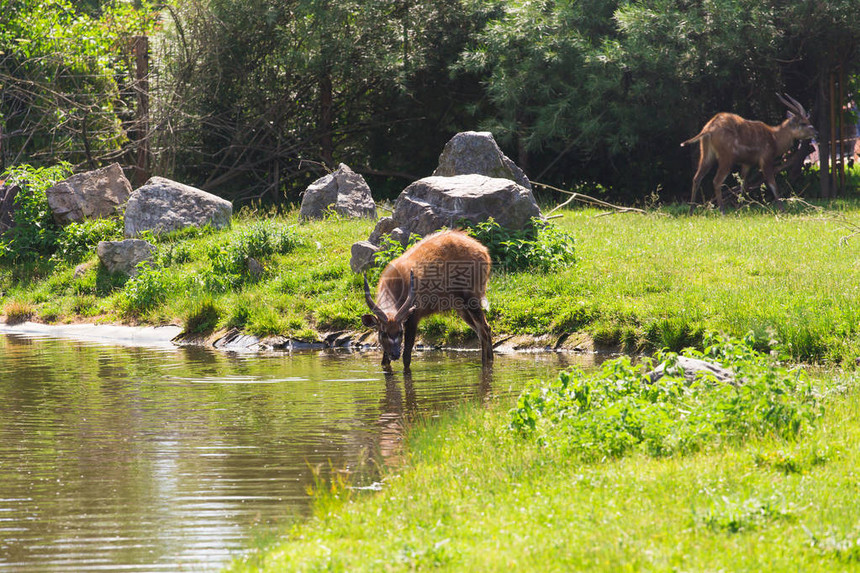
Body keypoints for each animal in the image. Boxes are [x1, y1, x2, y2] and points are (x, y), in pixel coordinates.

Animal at [362, 231, 494, 370]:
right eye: (383, 332)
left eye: (400, 332)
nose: (395, 354)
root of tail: (484, 251)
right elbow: (384, 362)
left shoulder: (413, 318)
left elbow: (407, 357)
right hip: (461, 308)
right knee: (484, 329)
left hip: (472, 299)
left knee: (484, 329)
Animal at [680, 95, 816, 213]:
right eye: (803, 123)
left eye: (808, 120)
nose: (816, 132)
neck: (774, 138)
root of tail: (708, 129)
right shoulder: (766, 159)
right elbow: (773, 184)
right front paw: (782, 210)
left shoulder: (747, 163)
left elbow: (743, 185)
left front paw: (739, 209)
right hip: (726, 158)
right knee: (716, 181)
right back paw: (722, 212)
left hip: (706, 155)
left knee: (696, 178)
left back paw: (691, 212)